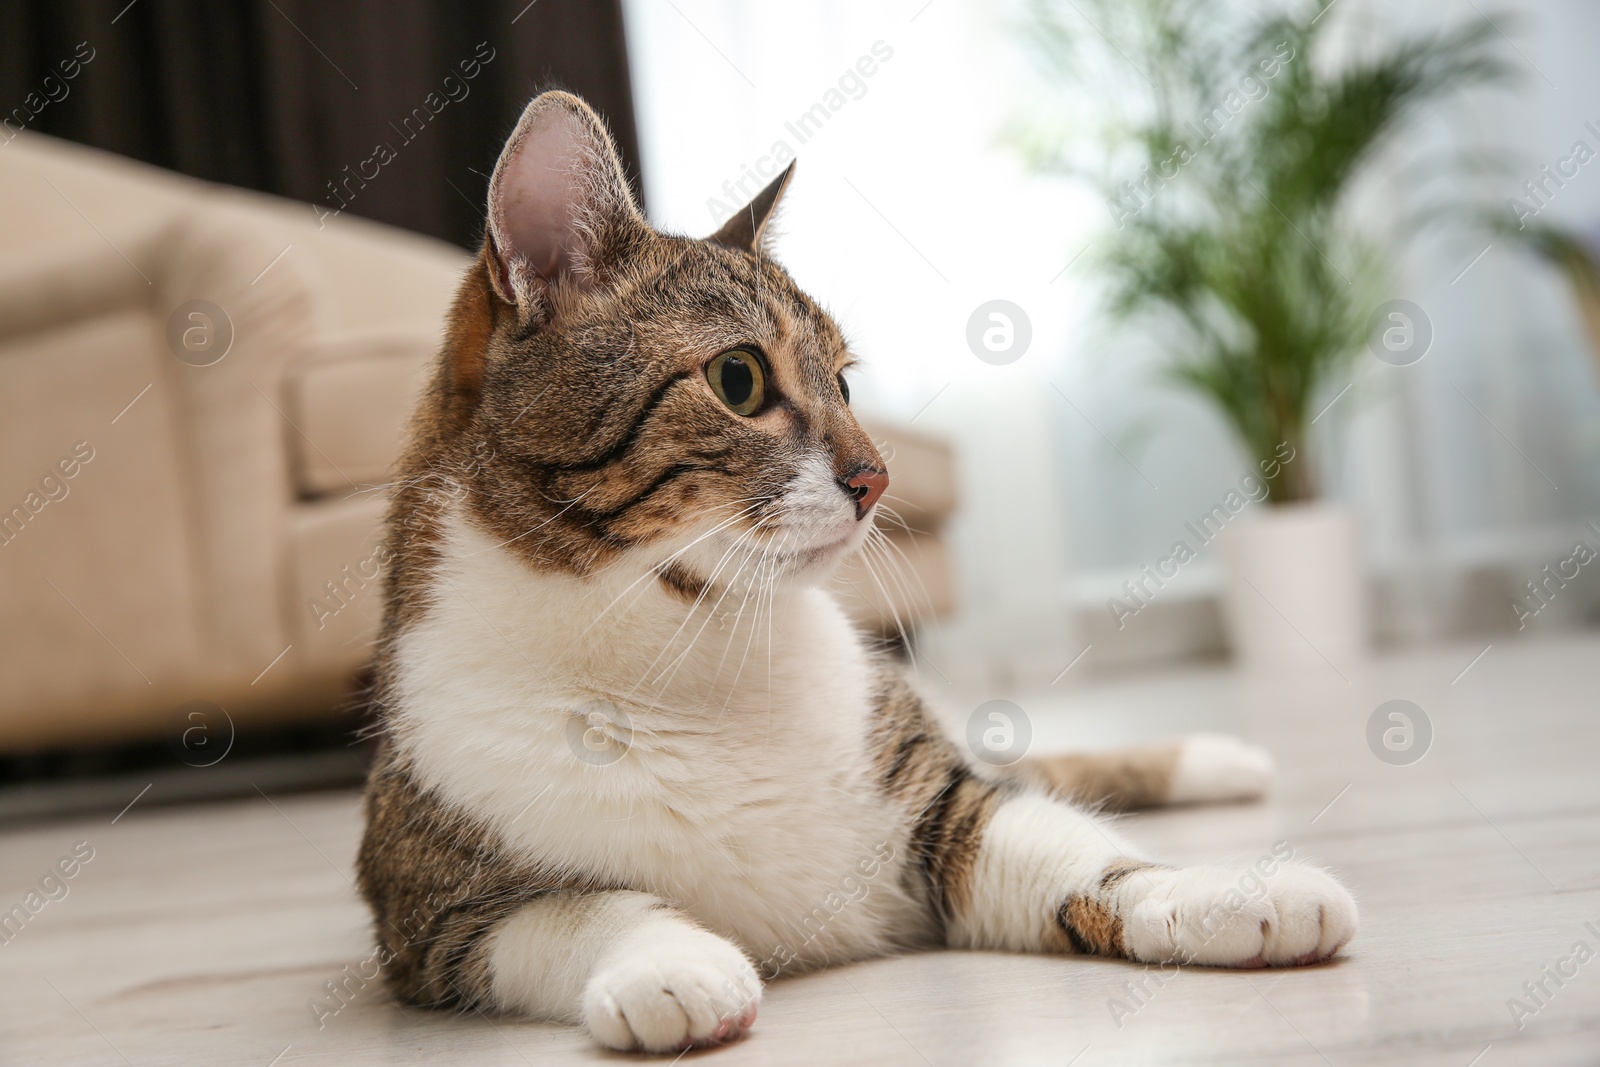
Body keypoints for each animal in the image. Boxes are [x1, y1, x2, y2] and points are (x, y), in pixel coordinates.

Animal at [356, 93, 1356, 1062]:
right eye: (739, 378)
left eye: (843, 381)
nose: (878, 477)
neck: (692, 644)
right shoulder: (432, 919)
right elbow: (578, 911)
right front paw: (667, 967)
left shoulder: (939, 804)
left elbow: (1078, 855)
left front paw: (1226, 893)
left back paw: (1218, 758)